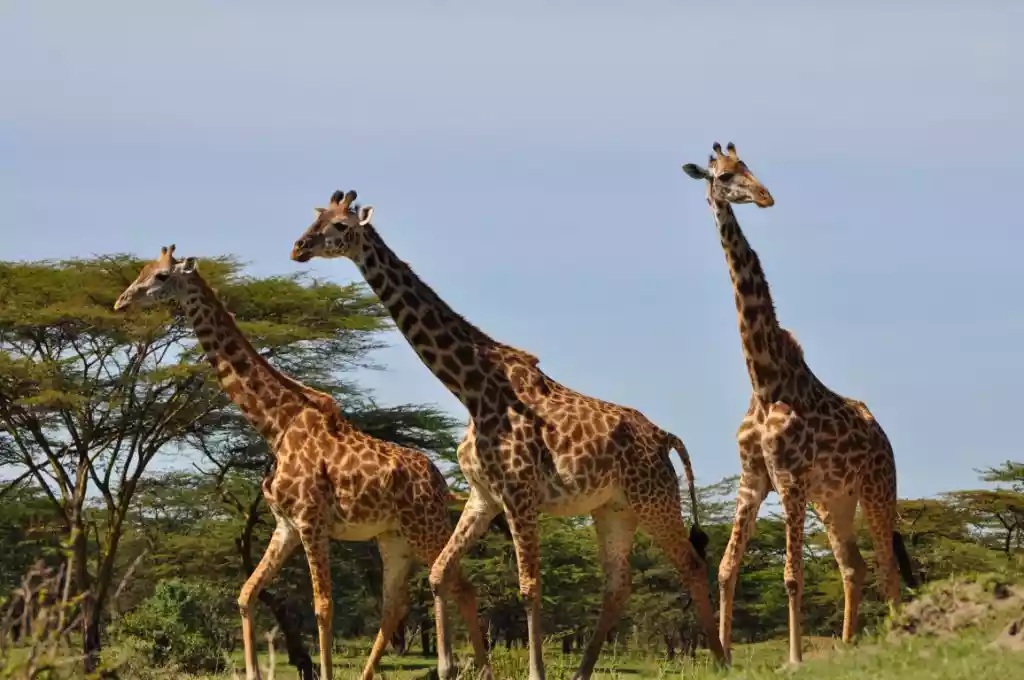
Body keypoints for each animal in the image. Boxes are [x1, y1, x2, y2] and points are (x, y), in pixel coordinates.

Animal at [112, 246, 491, 680]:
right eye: (143, 270)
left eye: (160, 276)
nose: (121, 302)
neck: (276, 425)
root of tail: (441, 483)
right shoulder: (286, 525)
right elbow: (246, 594)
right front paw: (254, 672)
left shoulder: (311, 522)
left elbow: (323, 607)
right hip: (392, 537)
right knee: (395, 605)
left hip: (424, 526)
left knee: (459, 586)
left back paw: (481, 668)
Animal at [292, 188, 733, 675]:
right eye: (316, 218)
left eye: (340, 227)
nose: (299, 248)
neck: (471, 388)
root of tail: (666, 438)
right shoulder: (485, 495)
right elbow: (440, 572)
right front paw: (450, 668)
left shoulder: (520, 493)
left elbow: (528, 586)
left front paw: (534, 671)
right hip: (614, 509)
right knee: (619, 585)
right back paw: (582, 670)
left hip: (653, 498)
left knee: (691, 563)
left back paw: (721, 660)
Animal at [684, 142, 917, 663]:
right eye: (724, 175)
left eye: (749, 167)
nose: (765, 196)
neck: (764, 380)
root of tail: (884, 437)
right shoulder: (753, 479)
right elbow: (726, 568)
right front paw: (724, 656)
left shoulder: (789, 479)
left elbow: (792, 576)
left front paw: (793, 658)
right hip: (834, 501)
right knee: (854, 566)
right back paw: (849, 644)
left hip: (877, 488)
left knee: (887, 564)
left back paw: (898, 639)